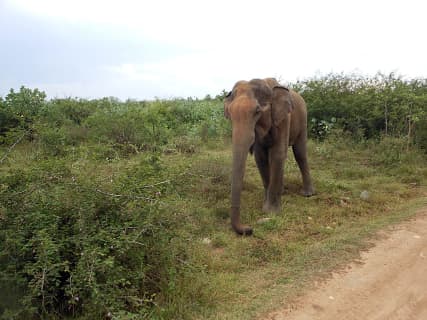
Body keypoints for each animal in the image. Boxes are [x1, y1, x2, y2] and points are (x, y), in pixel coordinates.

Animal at [224, 78, 314, 235]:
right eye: (229, 113)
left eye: (257, 111)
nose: (249, 229)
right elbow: (260, 157)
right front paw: (267, 205)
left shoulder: (284, 118)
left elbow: (277, 154)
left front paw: (270, 212)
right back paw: (282, 191)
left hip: (303, 118)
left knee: (300, 153)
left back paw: (307, 194)